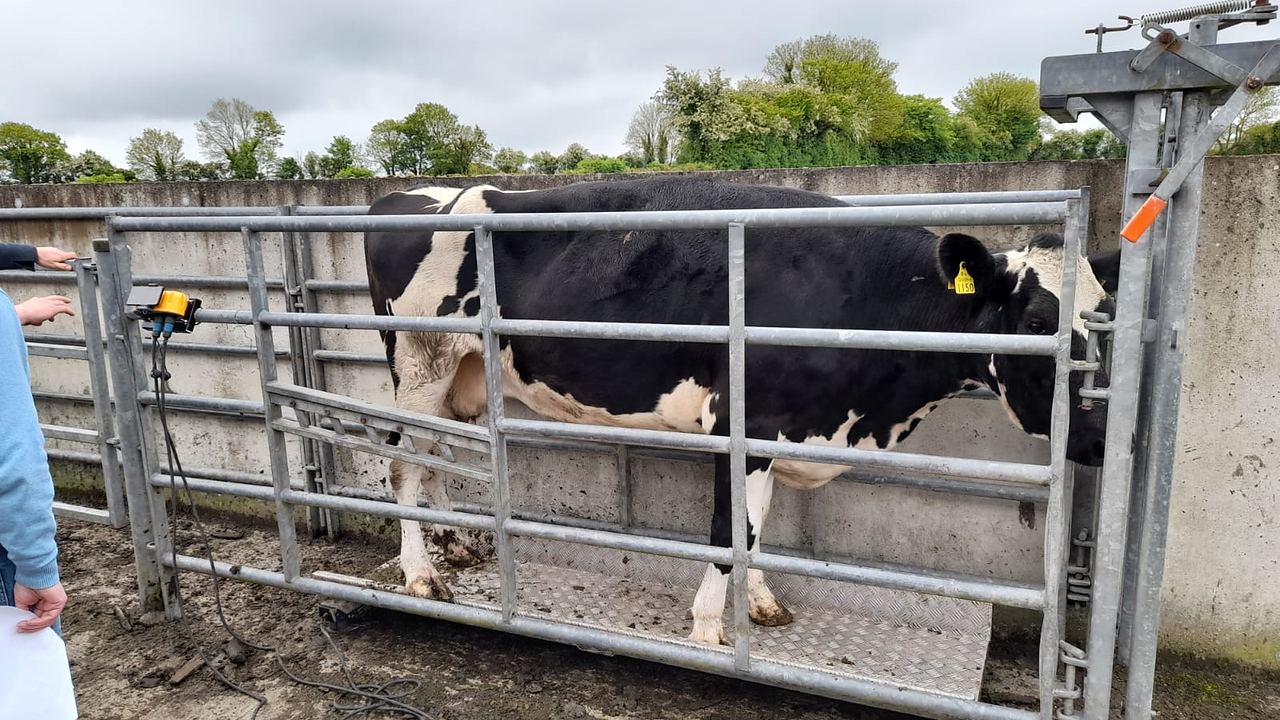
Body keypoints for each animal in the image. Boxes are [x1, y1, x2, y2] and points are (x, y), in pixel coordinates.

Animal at [363, 176, 1117, 646]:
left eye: (1103, 317)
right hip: (418, 360)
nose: (1102, 438)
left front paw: (758, 602)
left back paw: (457, 542)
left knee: (431, 450)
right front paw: (708, 628)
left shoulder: (783, 433)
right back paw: (422, 573)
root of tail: (409, 196)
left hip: (458, 372)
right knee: (401, 464)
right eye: (1036, 323)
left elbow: (757, 527)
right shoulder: (745, 425)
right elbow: (733, 531)